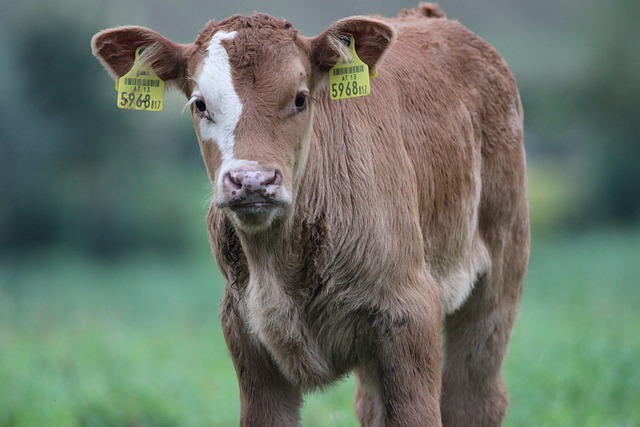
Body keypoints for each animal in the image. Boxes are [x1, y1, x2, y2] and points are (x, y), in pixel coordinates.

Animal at [91, 4, 528, 427]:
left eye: (300, 98)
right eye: (200, 104)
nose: (252, 180)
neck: (281, 263)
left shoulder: (410, 313)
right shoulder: (245, 333)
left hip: (500, 274)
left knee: (474, 400)